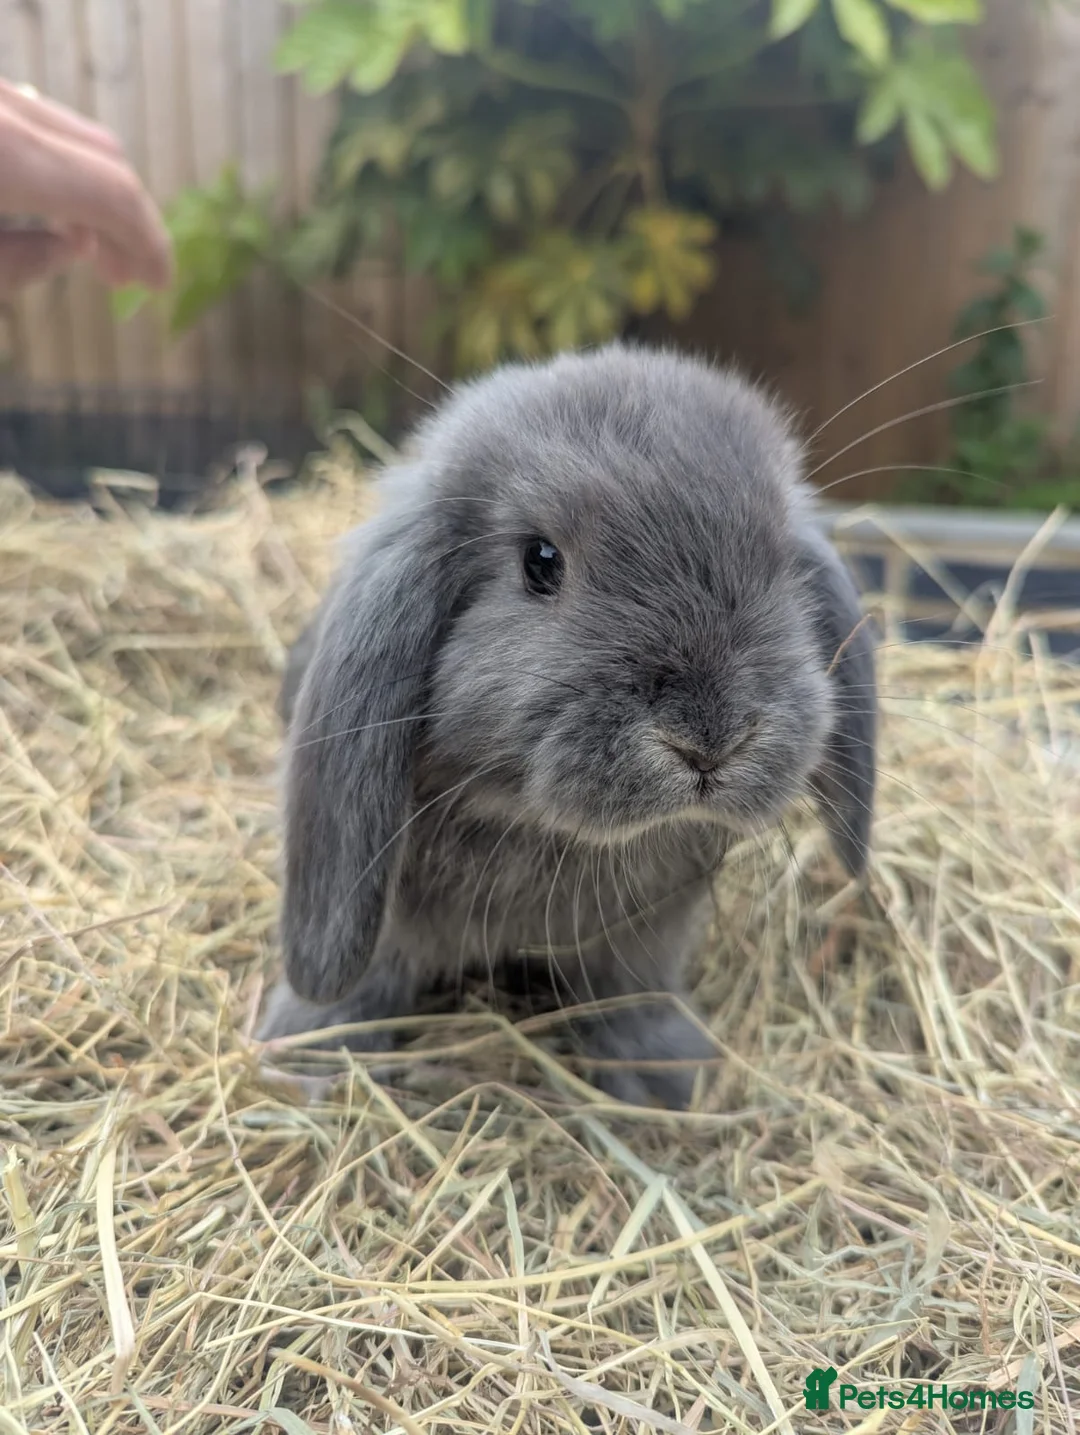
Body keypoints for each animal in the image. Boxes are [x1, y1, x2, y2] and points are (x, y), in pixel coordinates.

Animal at [257, 343, 877, 1108]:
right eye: (540, 560)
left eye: (783, 565)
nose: (710, 740)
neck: (547, 838)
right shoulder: (382, 921)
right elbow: (363, 984)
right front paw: (309, 1056)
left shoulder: (642, 938)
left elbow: (631, 995)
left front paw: (666, 1080)